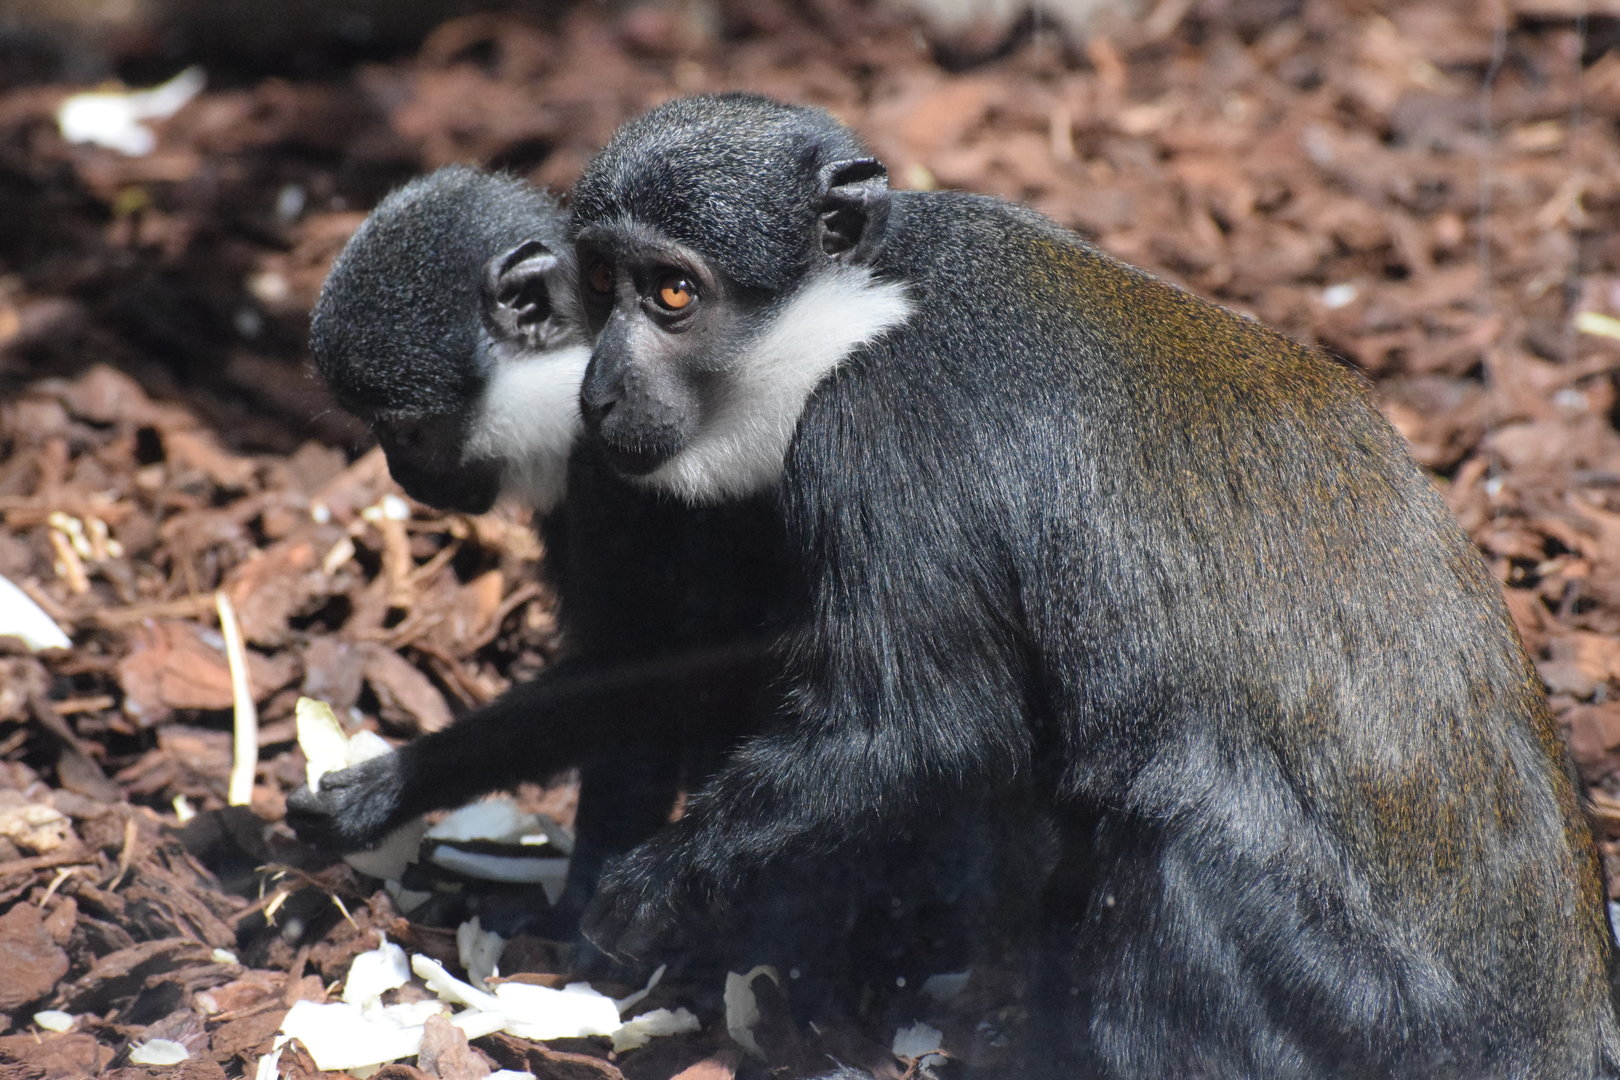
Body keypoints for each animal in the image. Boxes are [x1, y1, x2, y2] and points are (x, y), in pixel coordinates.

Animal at [566, 94, 1620, 1077]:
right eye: (599, 282)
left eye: (672, 292)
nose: (597, 390)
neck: (867, 303)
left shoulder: (876, 431)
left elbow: (924, 731)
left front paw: (646, 894)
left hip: (1358, 1013)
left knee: (1178, 851)